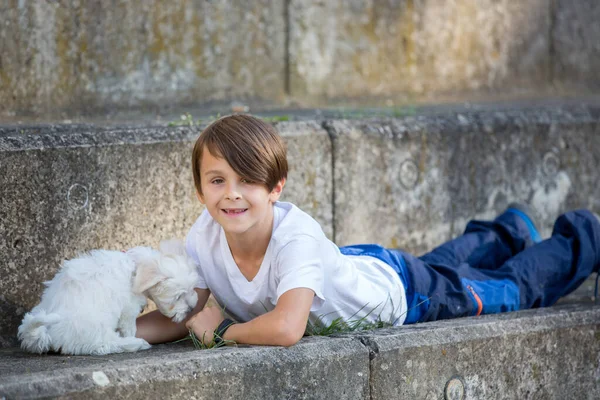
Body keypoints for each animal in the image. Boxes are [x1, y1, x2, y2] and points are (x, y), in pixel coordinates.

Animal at [18, 239, 199, 354]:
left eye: (192, 289)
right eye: (178, 297)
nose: (191, 309)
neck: (135, 268)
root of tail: (47, 333)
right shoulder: (129, 309)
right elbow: (129, 327)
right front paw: (132, 336)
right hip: (96, 327)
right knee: (106, 344)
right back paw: (136, 343)